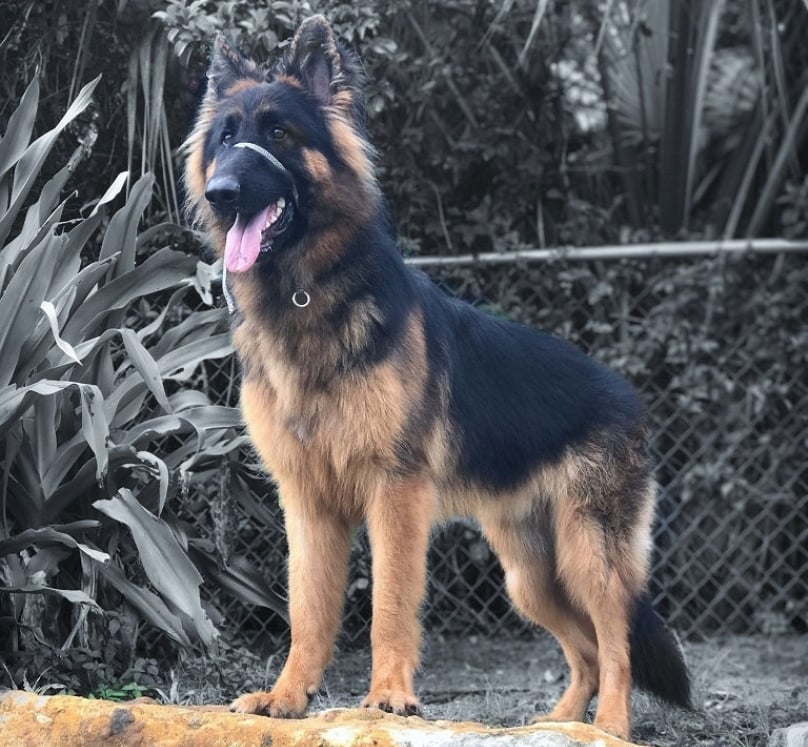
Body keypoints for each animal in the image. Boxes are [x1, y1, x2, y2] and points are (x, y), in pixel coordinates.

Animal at [183, 15, 690, 740]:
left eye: (279, 133)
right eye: (226, 136)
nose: (222, 191)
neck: (309, 296)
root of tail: (627, 397)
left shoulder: (395, 492)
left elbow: (390, 603)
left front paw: (389, 696)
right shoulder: (308, 503)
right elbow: (307, 609)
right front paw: (287, 697)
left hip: (586, 553)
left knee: (615, 638)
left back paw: (607, 725)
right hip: (530, 576)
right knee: (586, 647)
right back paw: (557, 722)